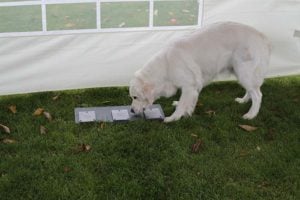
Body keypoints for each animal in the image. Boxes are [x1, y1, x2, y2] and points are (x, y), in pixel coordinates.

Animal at [130, 21, 270, 122]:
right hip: (241, 73)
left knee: (258, 95)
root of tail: (260, 35)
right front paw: (186, 111)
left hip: (244, 72)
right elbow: (187, 102)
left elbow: (182, 104)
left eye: (135, 97)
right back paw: (243, 101)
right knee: (251, 91)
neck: (166, 65)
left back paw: (251, 114)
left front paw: (173, 118)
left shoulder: (189, 85)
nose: (131, 110)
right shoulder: (192, 87)